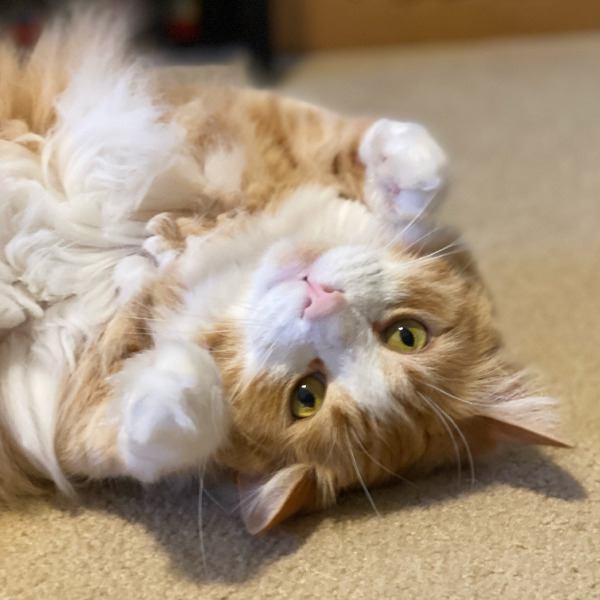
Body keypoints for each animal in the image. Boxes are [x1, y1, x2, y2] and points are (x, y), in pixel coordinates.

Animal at [0, 15, 568, 536]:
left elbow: (141, 434)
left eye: (305, 396)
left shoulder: (70, 411)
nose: (321, 300)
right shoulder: (243, 120)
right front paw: (409, 166)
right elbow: (379, 152)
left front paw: (184, 382)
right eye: (408, 335)